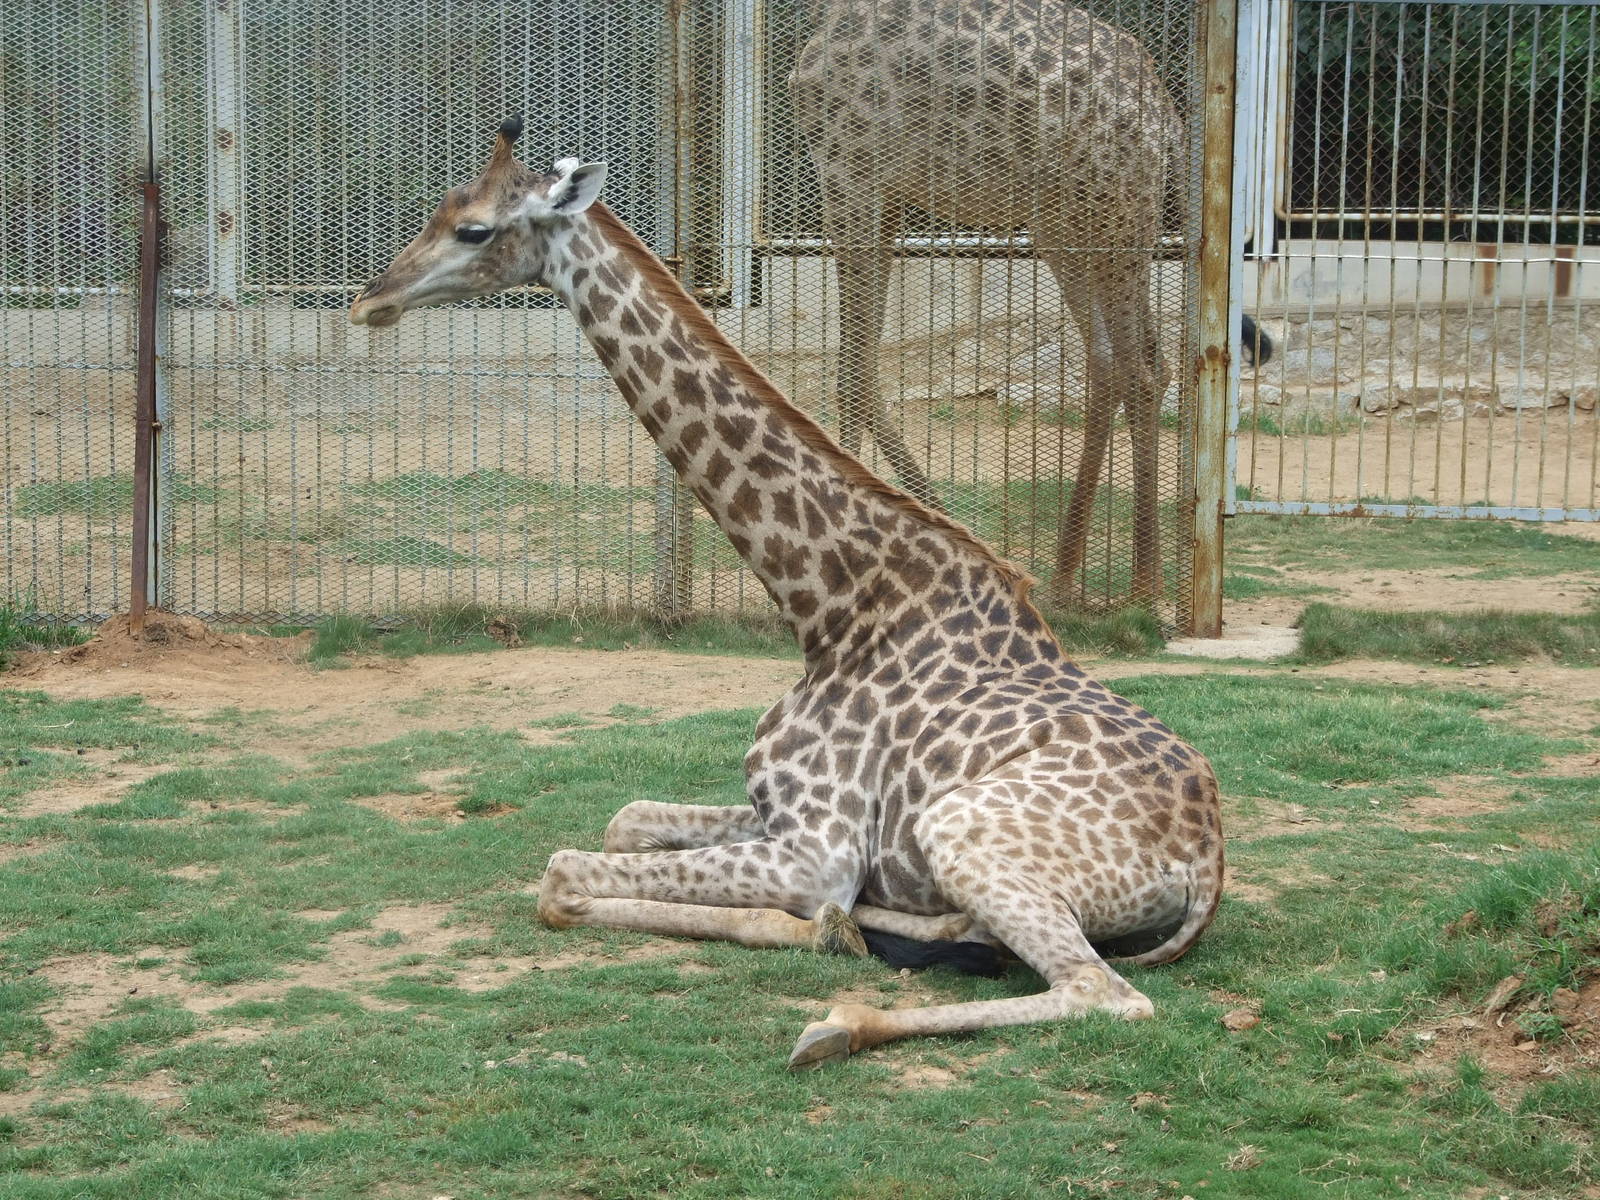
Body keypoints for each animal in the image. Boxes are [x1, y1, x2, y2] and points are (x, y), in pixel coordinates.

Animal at [349, 119, 1224, 1068]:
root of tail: (1207, 862)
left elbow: (562, 873)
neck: (830, 610)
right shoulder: (779, 821)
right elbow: (623, 818)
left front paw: (810, 929)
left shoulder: (816, 848)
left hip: (966, 832)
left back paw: (837, 1021)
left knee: (1105, 994)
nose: (368, 301)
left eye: (473, 228)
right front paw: (829, 928)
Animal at [792, 0, 1270, 607]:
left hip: (1111, 212)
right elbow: (863, 369)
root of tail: (1167, 120)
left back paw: (1141, 588)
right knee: (1121, 361)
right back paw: (1071, 580)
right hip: (1071, 226)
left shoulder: (850, 173)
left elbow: (852, 371)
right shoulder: (889, 195)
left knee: (1139, 367)